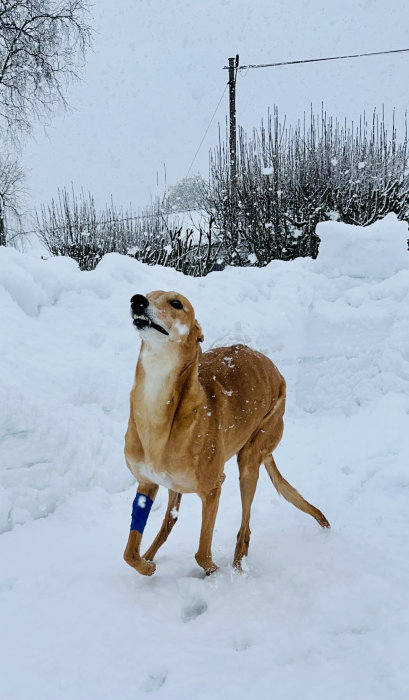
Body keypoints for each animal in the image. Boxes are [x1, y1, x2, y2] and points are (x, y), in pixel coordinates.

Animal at [122, 288, 328, 576]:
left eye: (176, 303)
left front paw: (213, 572)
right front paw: (146, 565)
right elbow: (129, 552)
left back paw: (238, 567)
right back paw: (151, 555)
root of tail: (275, 369)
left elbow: (202, 553)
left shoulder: (213, 489)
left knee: (245, 528)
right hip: (178, 485)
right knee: (168, 523)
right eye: (150, 294)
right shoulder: (147, 482)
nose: (137, 300)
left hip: (250, 459)